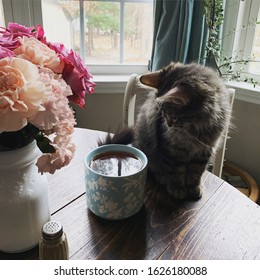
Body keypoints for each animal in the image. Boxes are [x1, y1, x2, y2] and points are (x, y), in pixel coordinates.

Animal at [101, 62, 232, 200]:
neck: (196, 130)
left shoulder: (204, 151)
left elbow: (196, 174)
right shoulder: (172, 150)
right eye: (162, 113)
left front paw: (194, 188)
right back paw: (163, 178)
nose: (169, 125)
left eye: (173, 117)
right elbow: (176, 172)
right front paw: (177, 189)